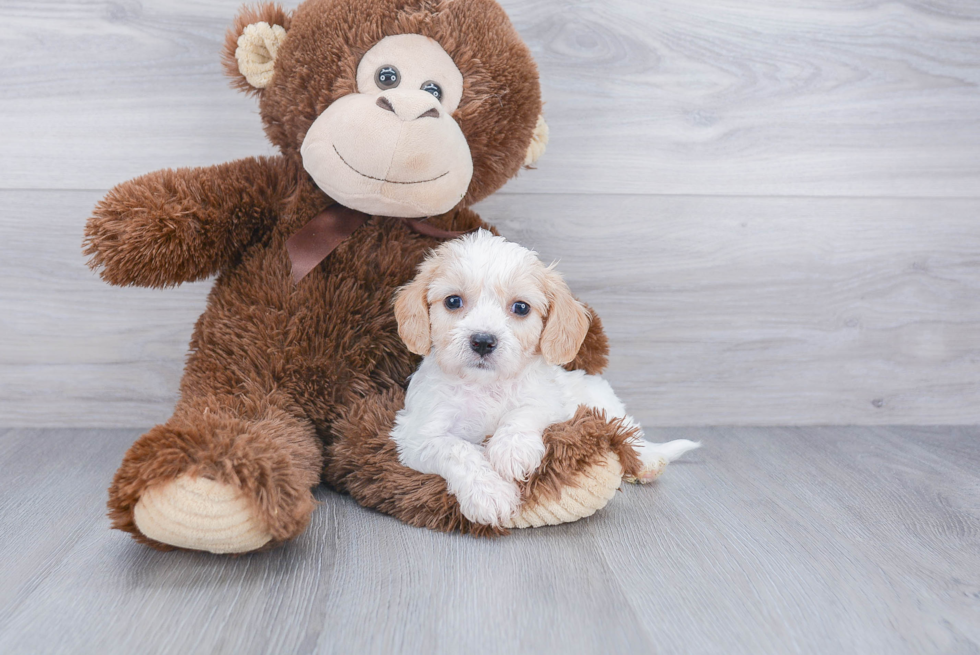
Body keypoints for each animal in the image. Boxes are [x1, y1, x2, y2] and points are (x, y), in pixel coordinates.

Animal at [390, 232, 696, 528]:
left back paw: (648, 462)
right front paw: (490, 494)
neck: (486, 385)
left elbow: (525, 412)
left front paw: (511, 450)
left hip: (605, 405)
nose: (483, 341)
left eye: (521, 307)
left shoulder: (550, 400)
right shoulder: (418, 434)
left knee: (631, 435)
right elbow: (458, 449)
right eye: (453, 301)